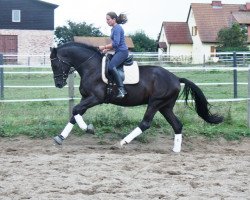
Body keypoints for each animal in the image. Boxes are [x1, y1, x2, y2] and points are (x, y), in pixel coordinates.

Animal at [50, 41, 223, 152]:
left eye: (55, 64)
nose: (58, 84)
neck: (91, 67)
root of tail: (175, 78)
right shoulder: (86, 98)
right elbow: (75, 114)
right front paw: (60, 137)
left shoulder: (95, 98)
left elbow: (75, 111)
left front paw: (88, 129)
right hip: (165, 106)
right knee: (177, 125)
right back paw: (175, 150)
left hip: (155, 103)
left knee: (146, 123)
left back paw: (122, 142)